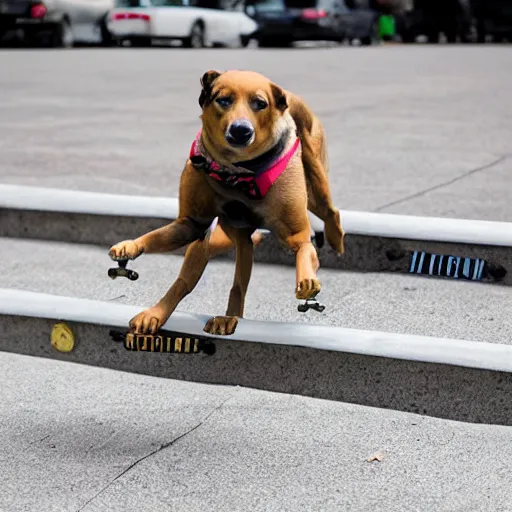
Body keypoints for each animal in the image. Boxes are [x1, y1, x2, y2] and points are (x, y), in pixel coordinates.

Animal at [110, 71, 346, 336]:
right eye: (223, 100)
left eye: (260, 104)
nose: (241, 130)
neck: (236, 173)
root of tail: (289, 96)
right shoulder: (192, 225)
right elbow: (166, 248)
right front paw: (132, 248)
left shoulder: (296, 234)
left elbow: (305, 249)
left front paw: (307, 279)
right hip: (232, 239)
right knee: (227, 279)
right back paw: (224, 317)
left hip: (315, 180)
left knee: (330, 210)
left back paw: (336, 240)